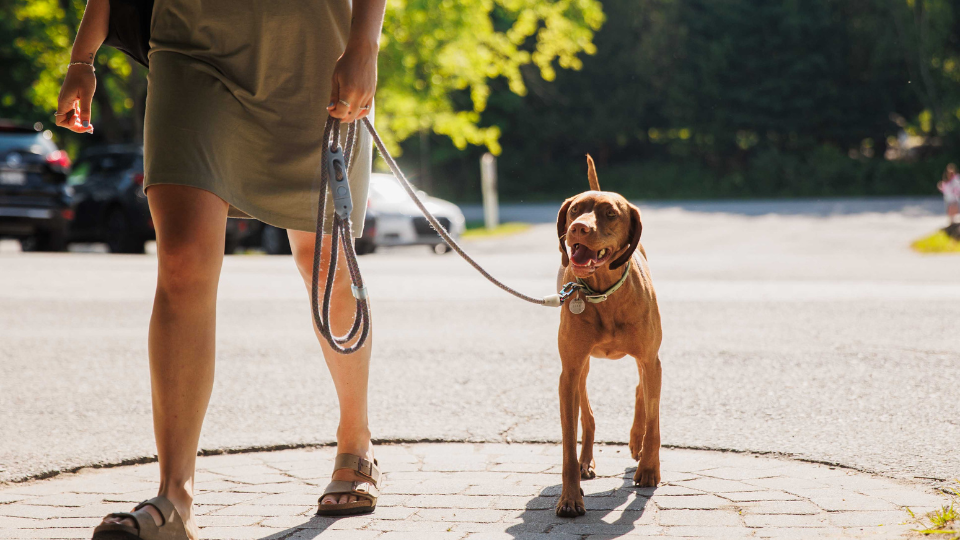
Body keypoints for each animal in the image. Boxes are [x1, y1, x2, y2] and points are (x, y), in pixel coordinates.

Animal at [556, 154, 660, 516]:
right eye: (575, 210)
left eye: (610, 213)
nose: (578, 228)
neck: (605, 294)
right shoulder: (570, 370)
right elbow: (568, 442)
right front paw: (569, 497)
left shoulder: (651, 359)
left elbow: (654, 421)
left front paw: (649, 469)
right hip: (582, 368)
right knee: (587, 416)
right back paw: (587, 460)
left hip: (647, 362)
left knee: (642, 390)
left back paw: (637, 442)